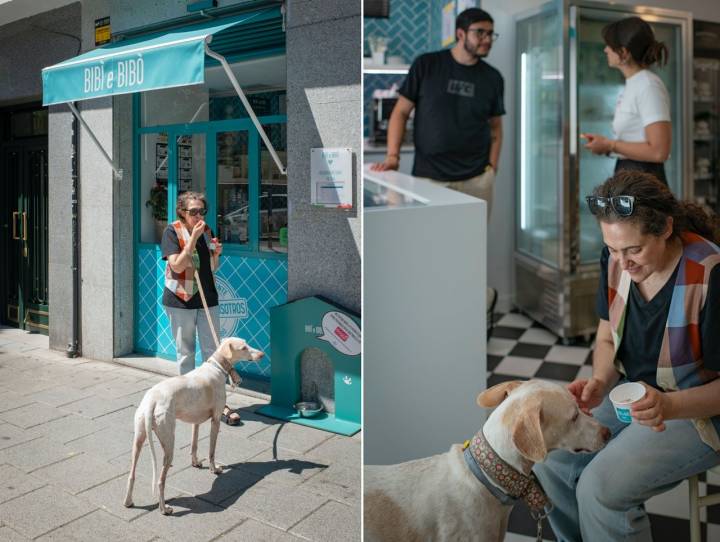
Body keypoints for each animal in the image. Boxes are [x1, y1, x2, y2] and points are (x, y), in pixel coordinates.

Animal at [124, 338, 264, 516]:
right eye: (244, 347)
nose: (262, 354)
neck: (216, 366)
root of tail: (152, 401)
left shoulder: (195, 422)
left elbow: (194, 445)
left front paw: (196, 462)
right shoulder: (216, 420)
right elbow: (211, 451)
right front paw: (214, 469)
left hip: (139, 440)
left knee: (132, 474)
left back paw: (128, 501)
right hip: (169, 445)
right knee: (161, 481)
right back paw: (164, 508)